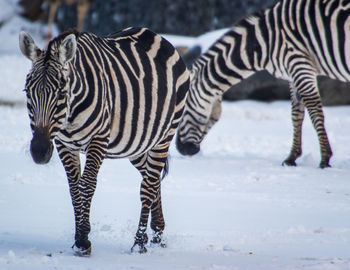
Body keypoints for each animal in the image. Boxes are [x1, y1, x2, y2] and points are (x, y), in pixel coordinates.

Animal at [19, 26, 189, 255]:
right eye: (27, 92)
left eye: (61, 94)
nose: (39, 152)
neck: (70, 115)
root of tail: (157, 36)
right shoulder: (64, 144)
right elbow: (74, 188)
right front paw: (79, 238)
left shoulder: (98, 139)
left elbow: (87, 185)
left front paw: (83, 240)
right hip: (136, 145)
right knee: (152, 180)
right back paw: (157, 234)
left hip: (164, 136)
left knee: (148, 186)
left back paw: (139, 243)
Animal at [178, 0, 350, 169]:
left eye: (181, 108)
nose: (182, 150)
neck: (263, 42)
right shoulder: (293, 74)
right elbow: (296, 115)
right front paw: (291, 158)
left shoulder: (300, 64)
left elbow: (315, 112)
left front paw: (325, 159)